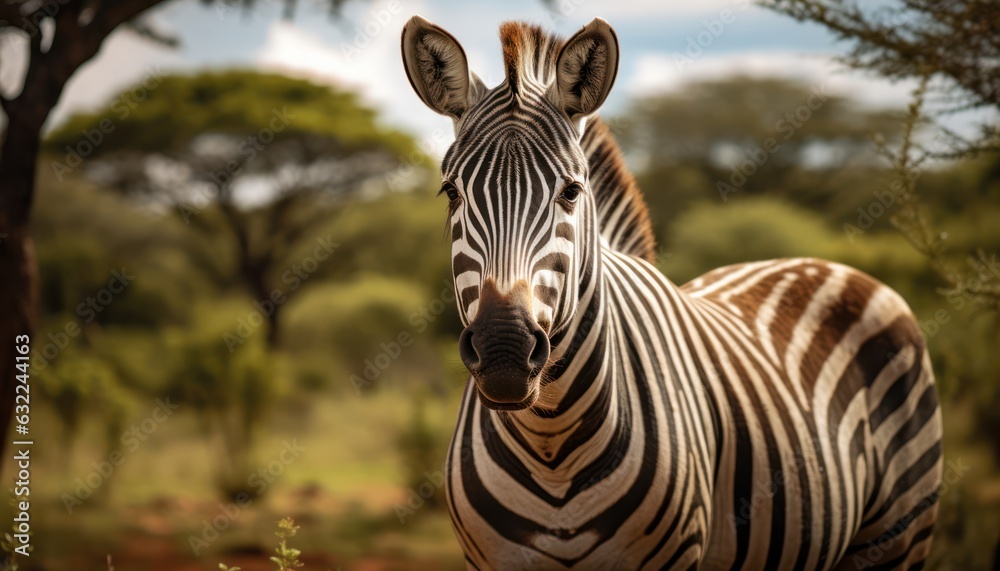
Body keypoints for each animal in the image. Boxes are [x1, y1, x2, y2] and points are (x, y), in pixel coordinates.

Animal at [400, 16, 943, 570]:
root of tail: (821, 262)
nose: (505, 353)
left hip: (899, 528)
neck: (550, 442)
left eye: (571, 192)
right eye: (451, 192)